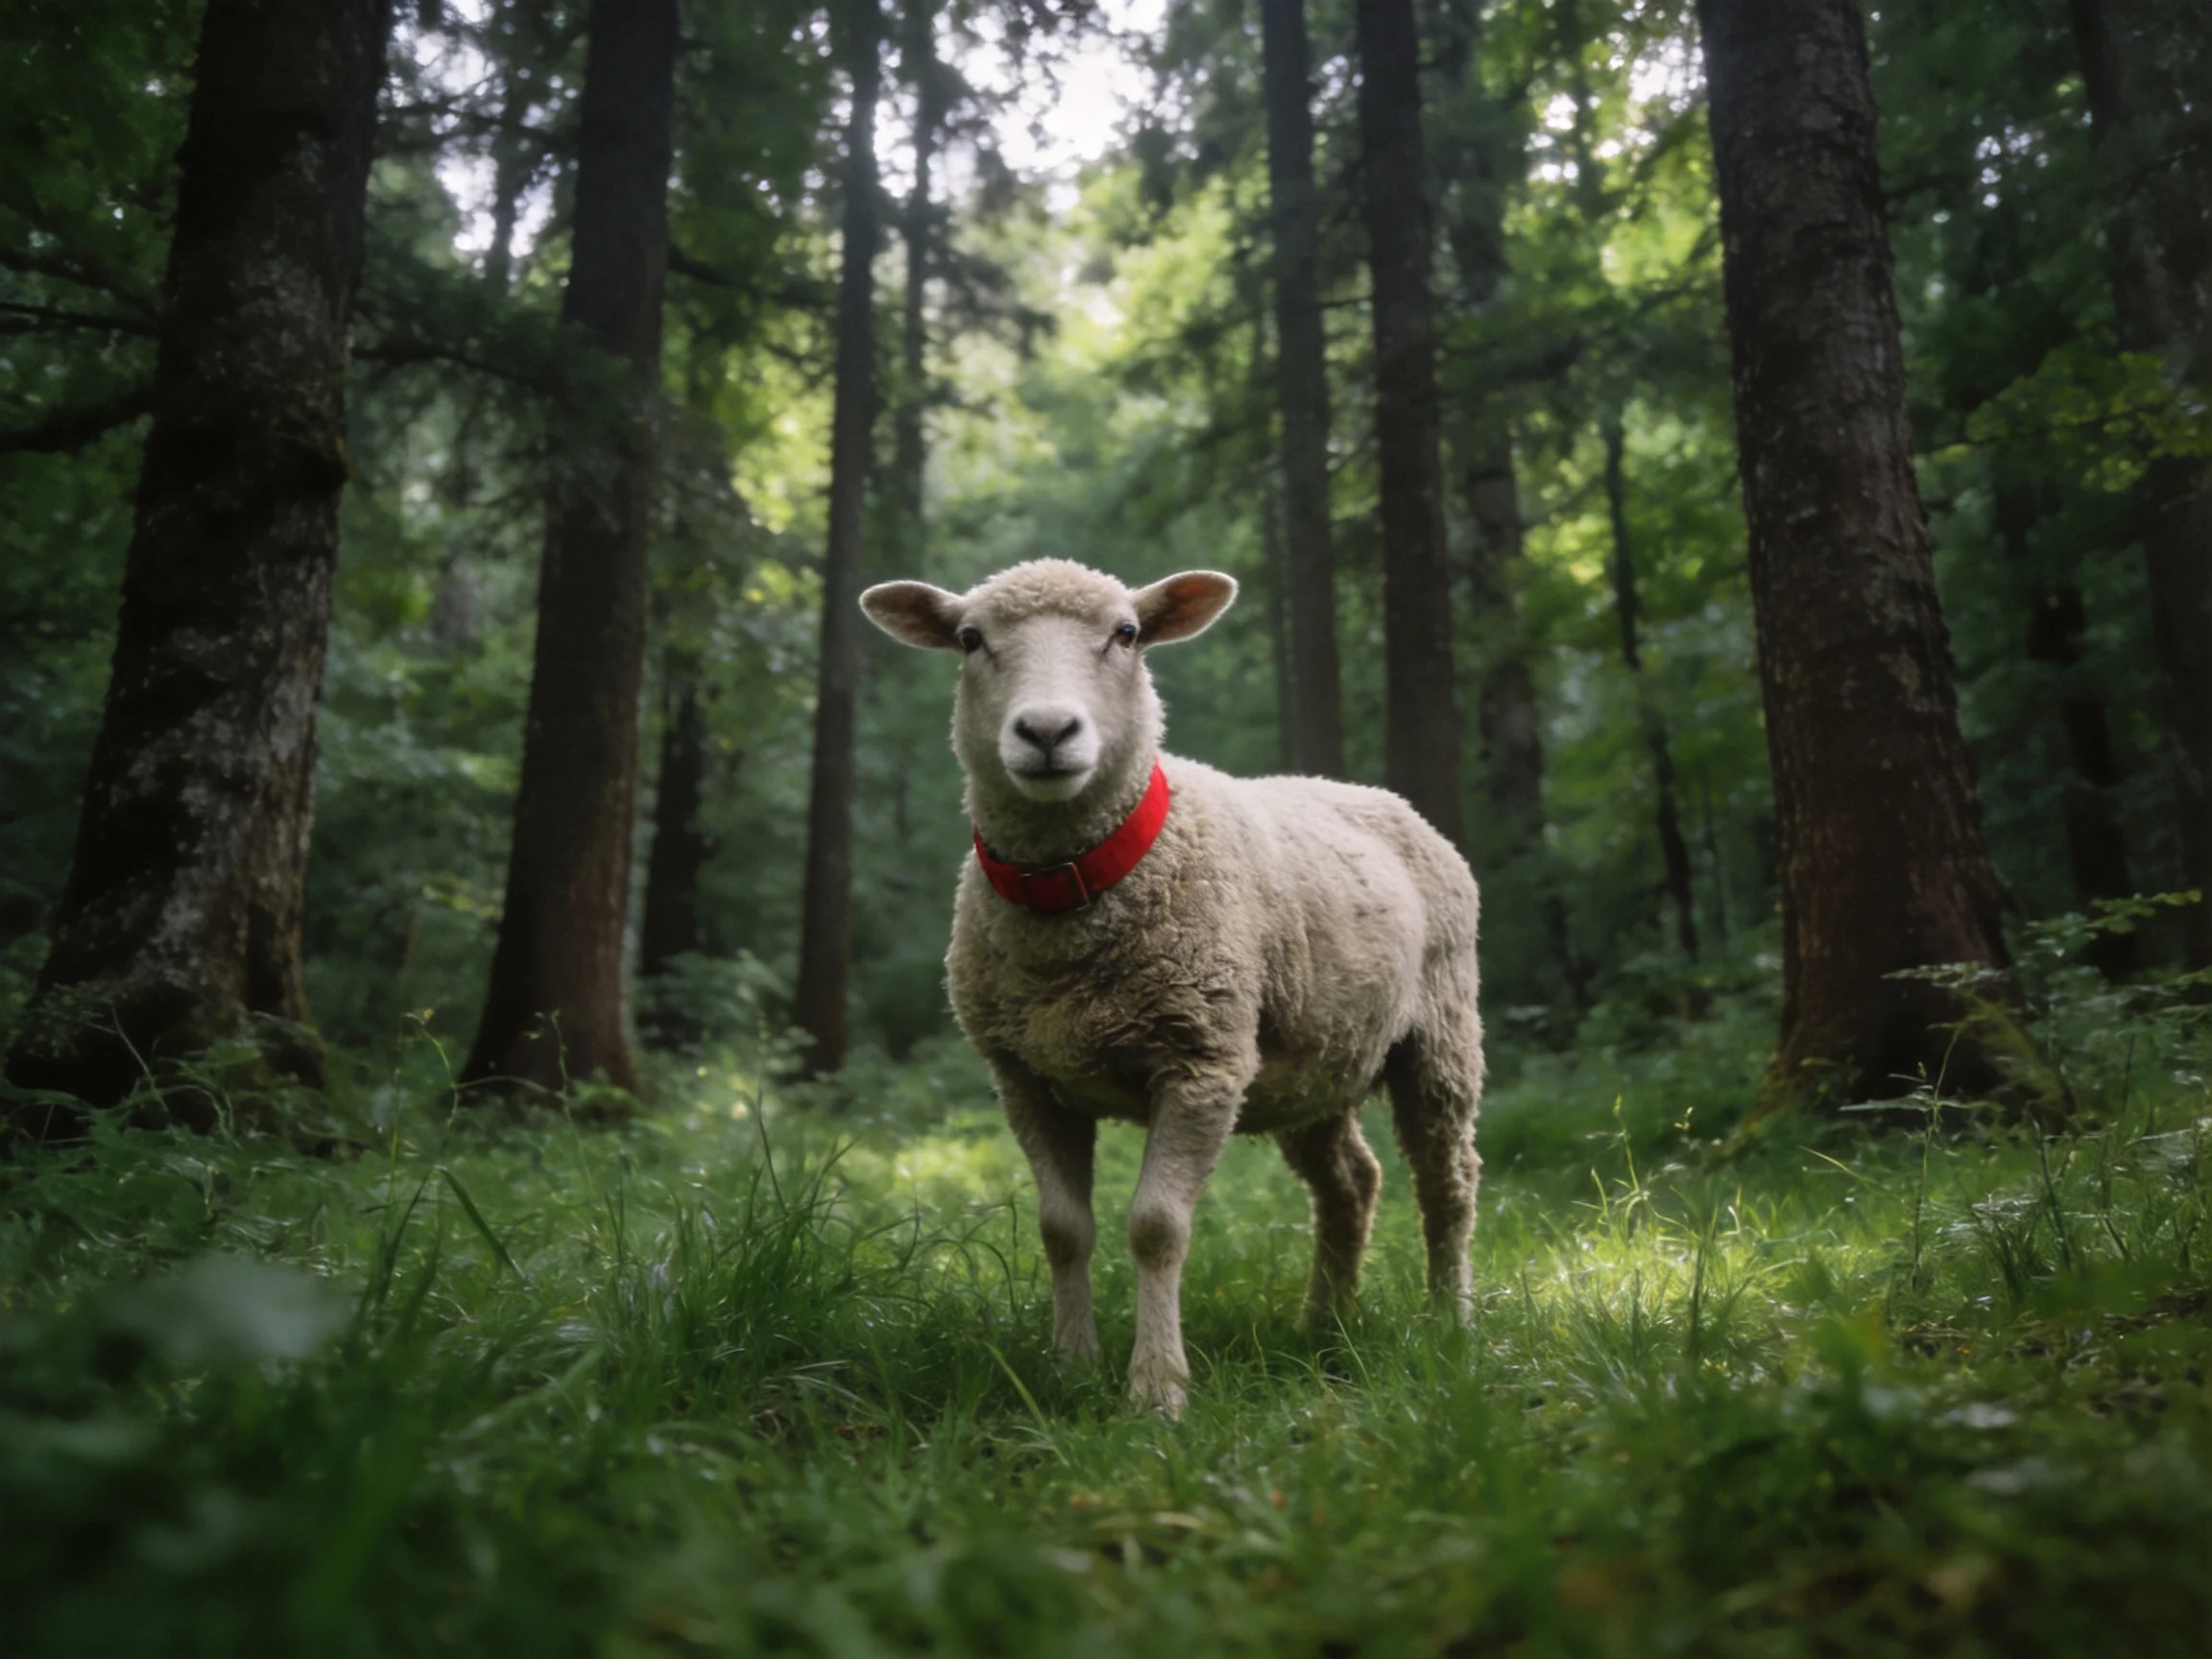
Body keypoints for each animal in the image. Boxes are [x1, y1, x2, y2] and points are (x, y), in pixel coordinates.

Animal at [859, 559, 1484, 1415]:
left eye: (1126, 634)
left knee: (1447, 1183)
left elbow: (1157, 1227)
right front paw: (1071, 1366)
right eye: (969, 639)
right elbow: (1063, 1228)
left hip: (1441, 1035)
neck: (1072, 907)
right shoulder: (1025, 1078)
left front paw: (1157, 1390)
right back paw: (1325, 1323)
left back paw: (1450, 1321)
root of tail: (1375, 794)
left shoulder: (1200, 1062)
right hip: (1308, 1064)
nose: (1047, 732)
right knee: (1351, 1182)